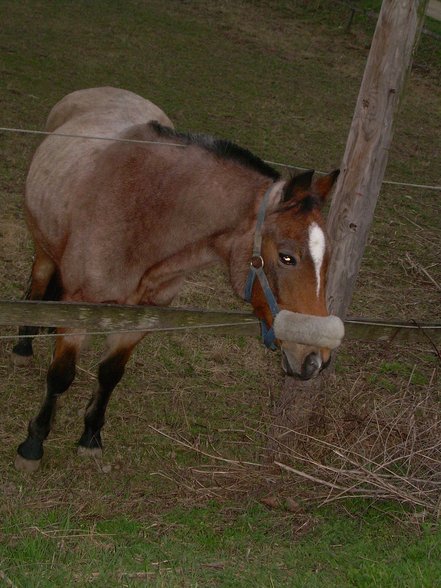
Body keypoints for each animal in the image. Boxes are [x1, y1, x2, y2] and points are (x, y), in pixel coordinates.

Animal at [12, 88, 338, 474]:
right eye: (287, 257)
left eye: (328, 257)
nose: (316, 358)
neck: (143, 217)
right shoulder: (79, 309)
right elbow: (61, 376)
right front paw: (33, 443)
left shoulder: (143, 318)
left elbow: (110, 374)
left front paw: (91, 436)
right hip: (43, 248)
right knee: (37, 286)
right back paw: (23, 346)